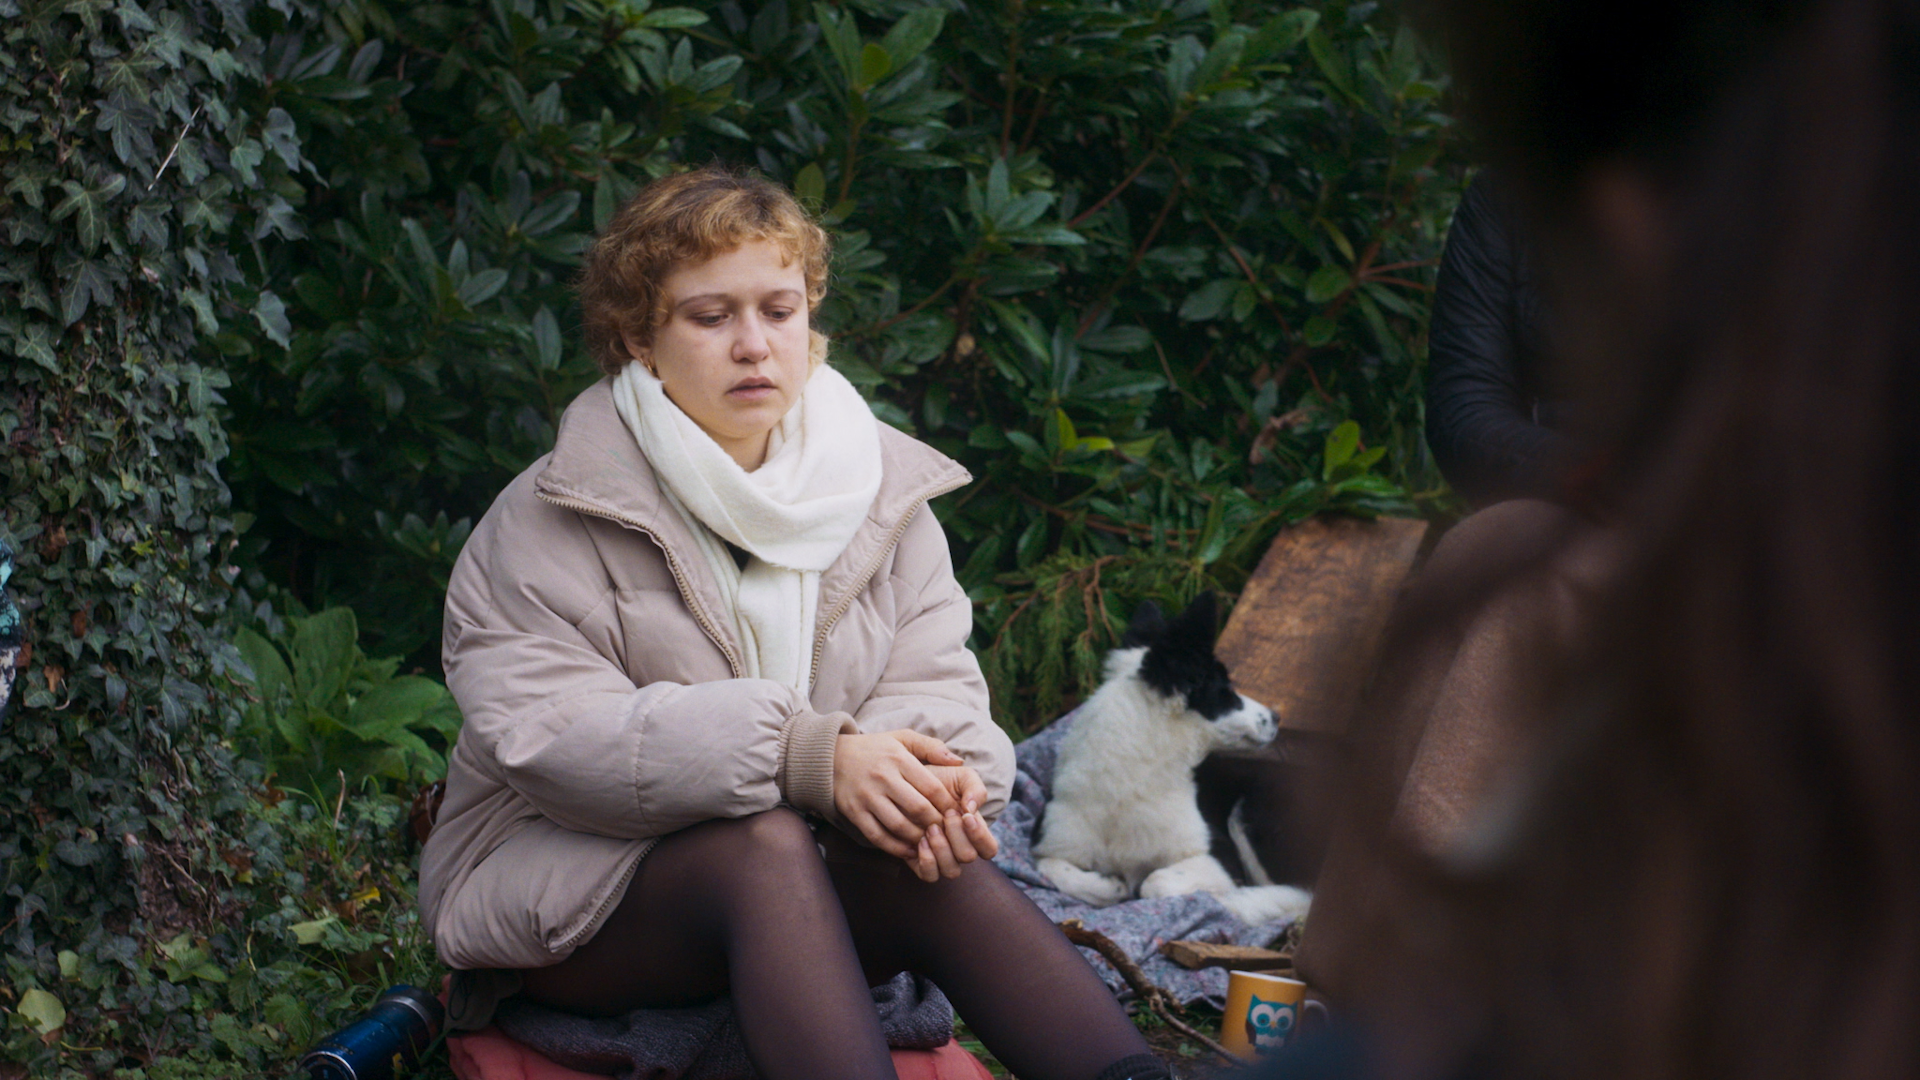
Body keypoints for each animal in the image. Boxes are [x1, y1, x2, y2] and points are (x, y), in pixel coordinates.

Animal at [1032, 593, 1313, 926]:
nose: (1276, 717)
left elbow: (1155, 882)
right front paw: (1110, 883)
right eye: (1227, 691)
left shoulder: (1220, 857)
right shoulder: (1049, 840)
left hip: (1250, 814)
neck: (1129, 783)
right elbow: (1053, 867)